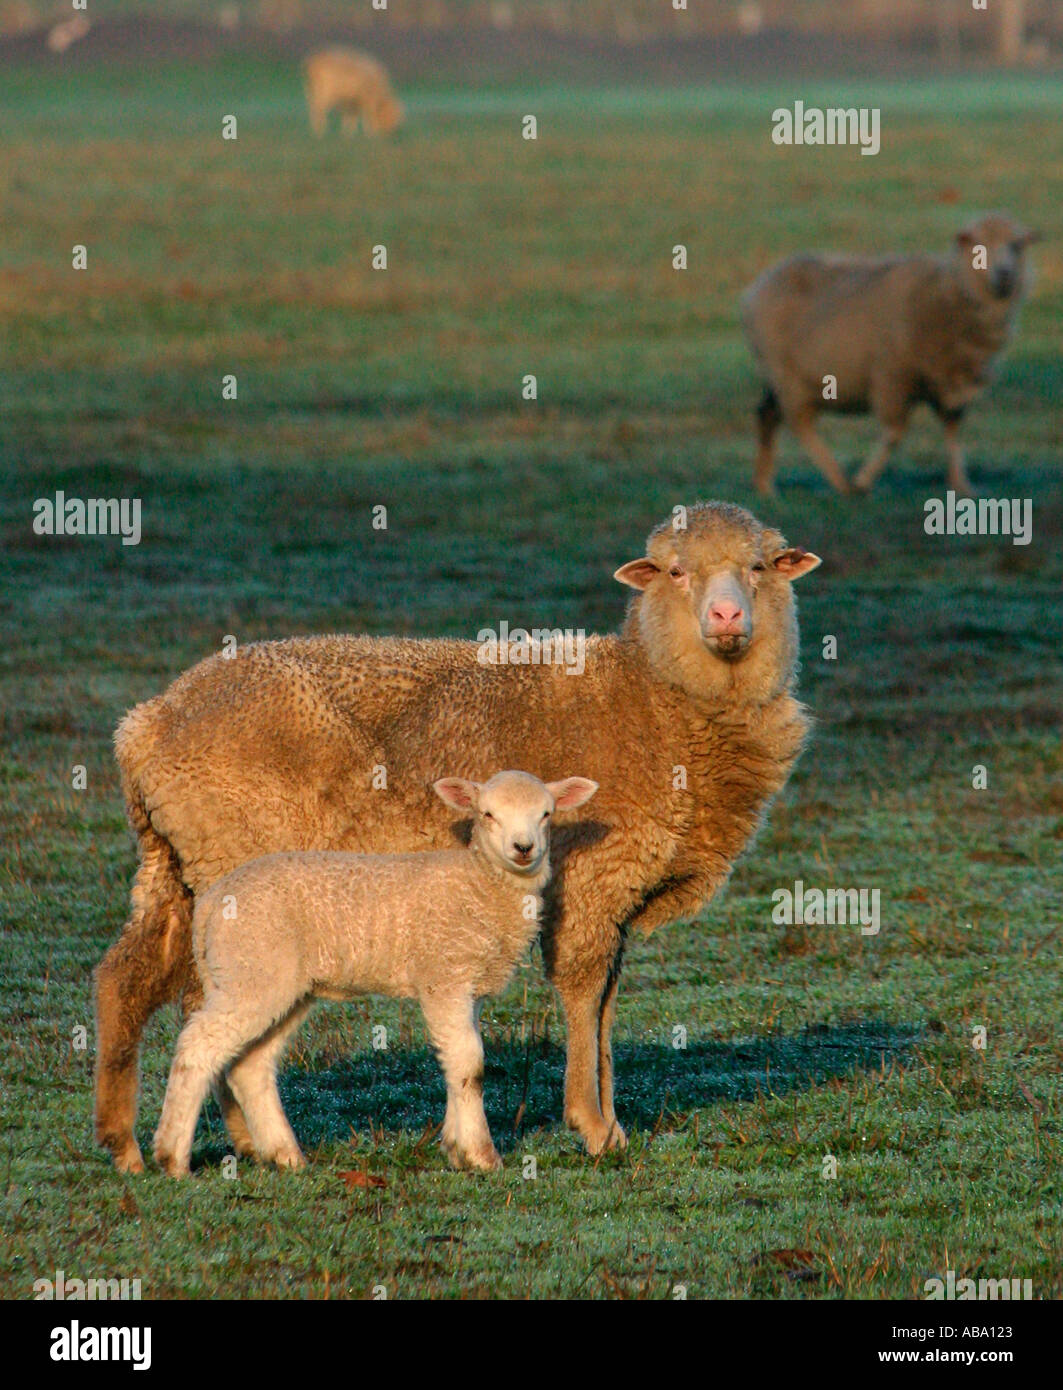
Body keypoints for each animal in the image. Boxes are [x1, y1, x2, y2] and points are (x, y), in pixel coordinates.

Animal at [151, 772, 597, 1173]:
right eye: (487, 814)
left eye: (546, 814)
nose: (524, 848)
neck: (479, 882)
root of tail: (210, 903)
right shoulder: (445, 975)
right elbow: (470, 1065)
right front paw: (481, 1156)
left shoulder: (466, 985)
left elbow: (458, 1062)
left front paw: (456, 1148)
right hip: (251, 970)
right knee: (197, 1047)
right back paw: (172, 1157)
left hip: (277, 982)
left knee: (251, 1065)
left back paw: (286, 1156)